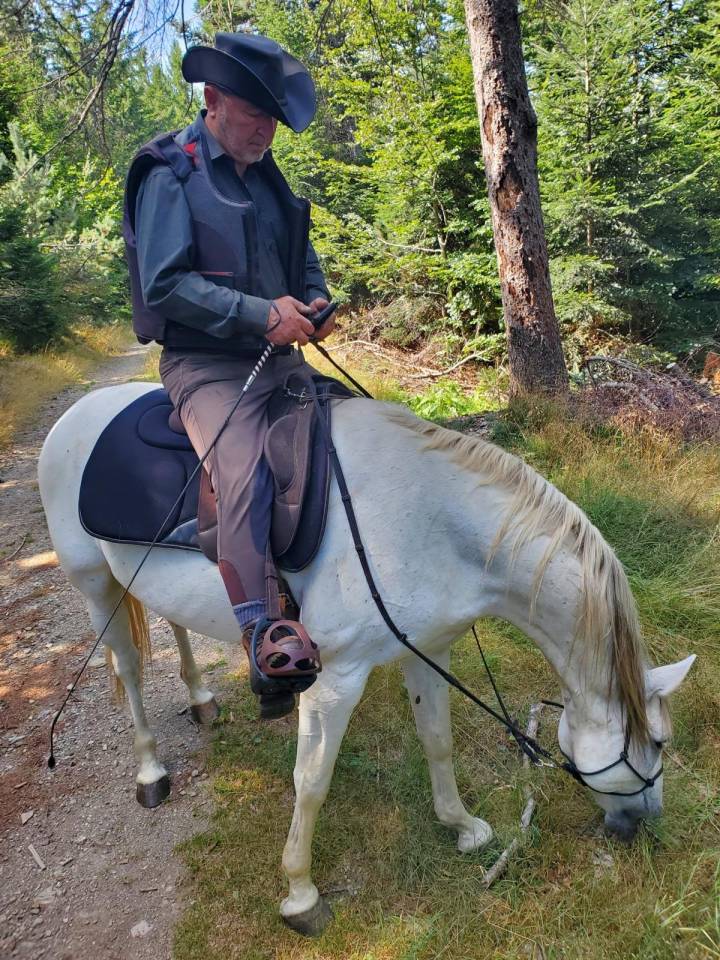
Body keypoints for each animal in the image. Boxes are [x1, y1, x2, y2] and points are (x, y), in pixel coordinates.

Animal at [38, 381, 695, 935]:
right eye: (659, 743)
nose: (646, 825)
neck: (433, 523)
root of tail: (80, 412)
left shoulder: (428, 650)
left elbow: (437, 741)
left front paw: (463, 828)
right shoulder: (335, 679)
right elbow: (311, 782)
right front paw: (300, 894)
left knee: (173, 625)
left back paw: (201, 700)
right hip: (95, 585)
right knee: (127, 670)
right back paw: (151, 772)